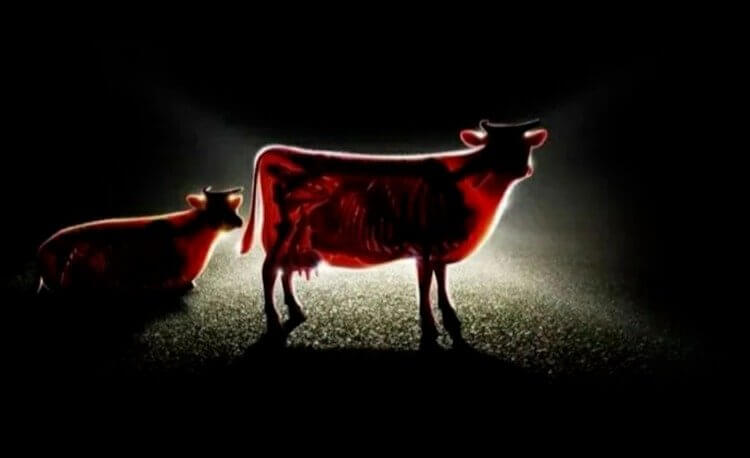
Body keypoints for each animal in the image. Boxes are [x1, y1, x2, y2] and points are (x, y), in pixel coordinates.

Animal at [240, 120, 548, 349]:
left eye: (524, 145)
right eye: (495, 147)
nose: (525, 169)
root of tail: (275, 151)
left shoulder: (439, 247)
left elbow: (441, 281)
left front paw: (450, 318)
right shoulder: (424, 246)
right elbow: (425, 284)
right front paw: (430, 327)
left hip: (296, 237)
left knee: (285, 269)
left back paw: (296, 309)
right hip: (284, 231)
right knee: (269, 270)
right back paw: (274, 321)